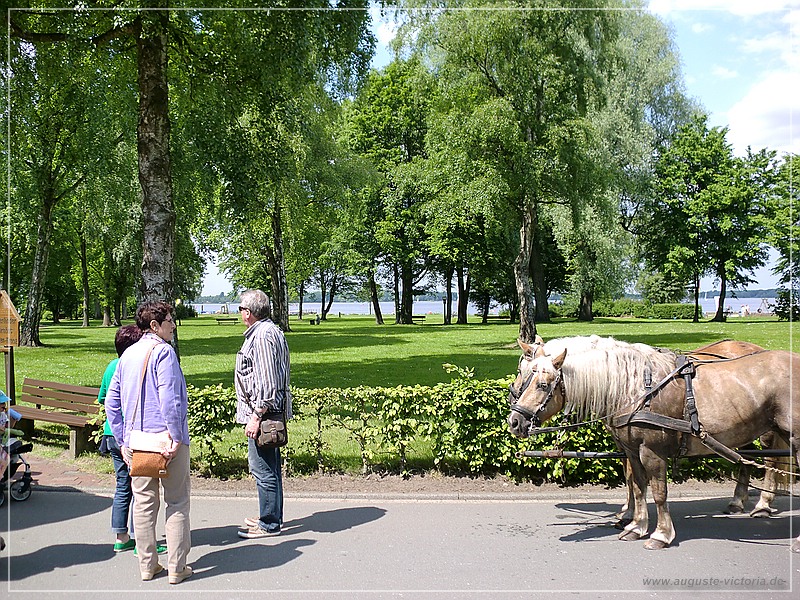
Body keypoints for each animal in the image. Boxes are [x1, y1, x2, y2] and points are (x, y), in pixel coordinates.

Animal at [507, 335, 799, 551]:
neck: (634, 387)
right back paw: (739, 501)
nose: (514, 420)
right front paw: (635, 525)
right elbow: (637, 486)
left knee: (770, 459)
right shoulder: (631, 449)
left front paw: (659, 533)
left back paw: (763, 505)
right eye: (526, 373)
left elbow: (658, 492)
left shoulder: (651, 451)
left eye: (542, 384)